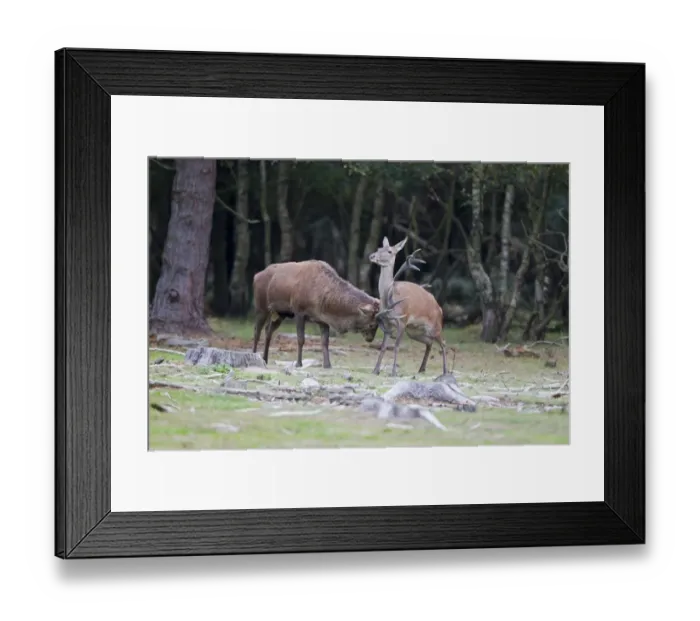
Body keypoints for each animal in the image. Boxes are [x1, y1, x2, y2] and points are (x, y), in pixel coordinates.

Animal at [251, 260, 381, 369]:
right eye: (372, 324)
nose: (370, 338)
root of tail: (256, 276)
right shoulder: (299, 312)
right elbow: (301, 339)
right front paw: (299, 363)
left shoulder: (323, 319)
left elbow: (325, 342)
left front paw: (327, 365)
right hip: (261, 307)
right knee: (257, 331)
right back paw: (254, 355)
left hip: (280, 313)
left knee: (268, 330)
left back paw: (265, 359)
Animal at [369, 236, 448, 377]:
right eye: (379, 248)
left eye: (389, 251)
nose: (372, 256)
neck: (389, 297)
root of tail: (439, 308)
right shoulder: (387, 323)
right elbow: (383, 347)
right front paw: (375, 370)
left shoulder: (402, 320)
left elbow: (396, 346)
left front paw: (394, 372)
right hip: (414, 332)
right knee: (429, 342)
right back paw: (422, 368)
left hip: (435, 326)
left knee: (443, 343)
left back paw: (445, 371)